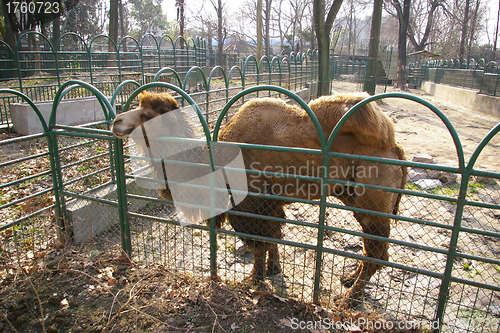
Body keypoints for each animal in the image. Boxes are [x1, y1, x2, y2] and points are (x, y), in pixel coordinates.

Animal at [110, 90, 406, 306]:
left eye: (146, 115)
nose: (116, 121)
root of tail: (395, 149)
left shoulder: (249, 205)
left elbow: (259, 242)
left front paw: (253, 279)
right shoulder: (269, 204)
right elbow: (274, 235)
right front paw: (272, 270)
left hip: (371, 200)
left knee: (377, 252)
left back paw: (349, 299)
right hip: (356, 199)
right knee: (375, 250)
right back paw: (349, 278)